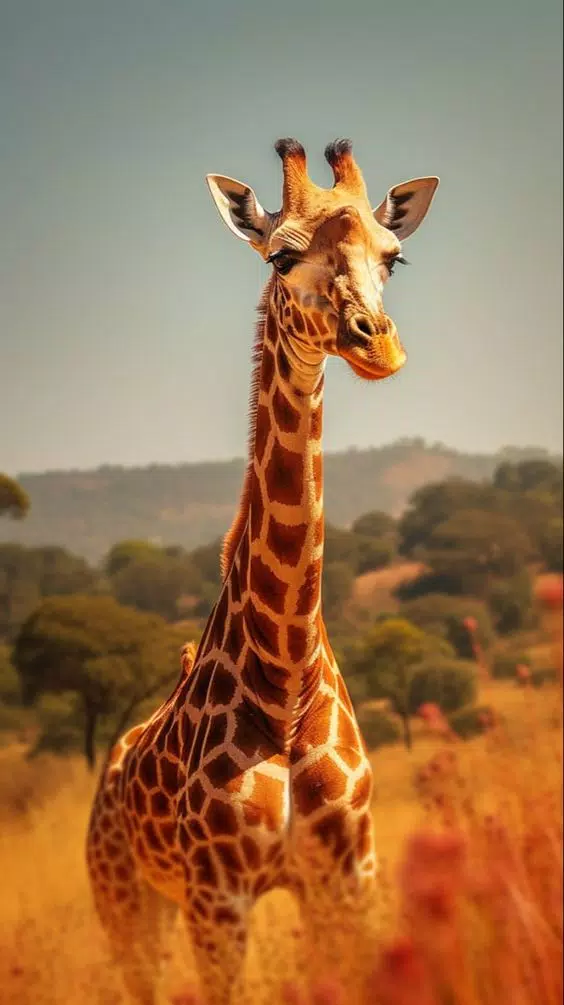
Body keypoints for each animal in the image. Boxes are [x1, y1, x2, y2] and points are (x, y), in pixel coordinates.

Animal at [86, 138, 439, 1005]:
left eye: (394, 256)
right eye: (281, 255)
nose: (377, 344)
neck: (286, 681)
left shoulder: (347, 877)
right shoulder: (219, 895)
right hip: (127, 898)